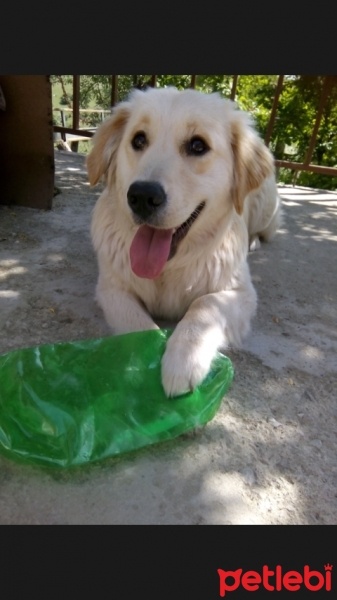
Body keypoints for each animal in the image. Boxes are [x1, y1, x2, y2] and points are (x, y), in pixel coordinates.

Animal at [86, 86, 280, 398]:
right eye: (138, 140)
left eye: (198, 146)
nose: (142, 196)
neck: (168, 267)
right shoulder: (112, 288)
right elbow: (138, 325)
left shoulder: (241, 292)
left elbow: (204, 306)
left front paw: (183, 361)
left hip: (265, 207)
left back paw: (254, 241)